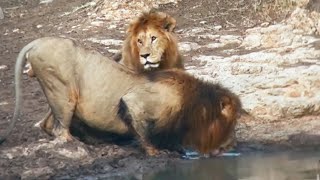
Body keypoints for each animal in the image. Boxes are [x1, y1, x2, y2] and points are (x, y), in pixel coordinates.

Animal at [0, 37, 240, 156]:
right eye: (229, 122)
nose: (233, 145)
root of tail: (38, 41)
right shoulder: (137, 101)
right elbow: (143, 131)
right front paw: (155, 152)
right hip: (61, 90)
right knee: (60, 130)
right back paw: (80, 144)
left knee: (47, 124)